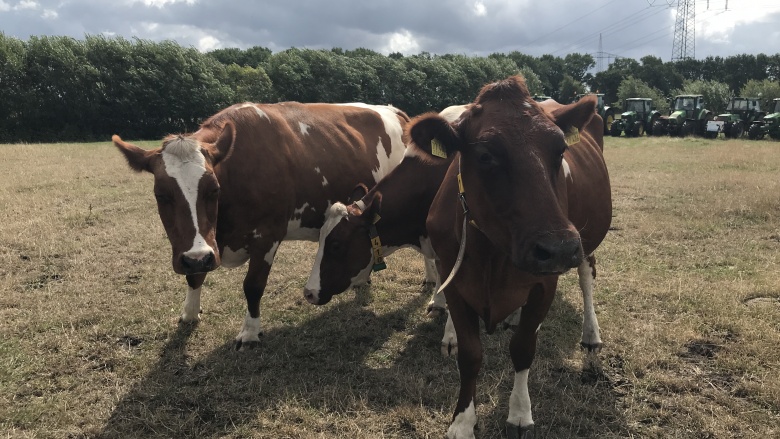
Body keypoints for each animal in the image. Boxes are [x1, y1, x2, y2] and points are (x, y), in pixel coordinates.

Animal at [115, 101, 412, 348]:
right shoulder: (201, 245)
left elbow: (253, 285)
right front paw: (189, 312)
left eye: (213, 190)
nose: (198, 258)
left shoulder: (267, 236)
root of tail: (393, 110)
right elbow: (194, 275)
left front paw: (249, 332)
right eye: (161, 195)